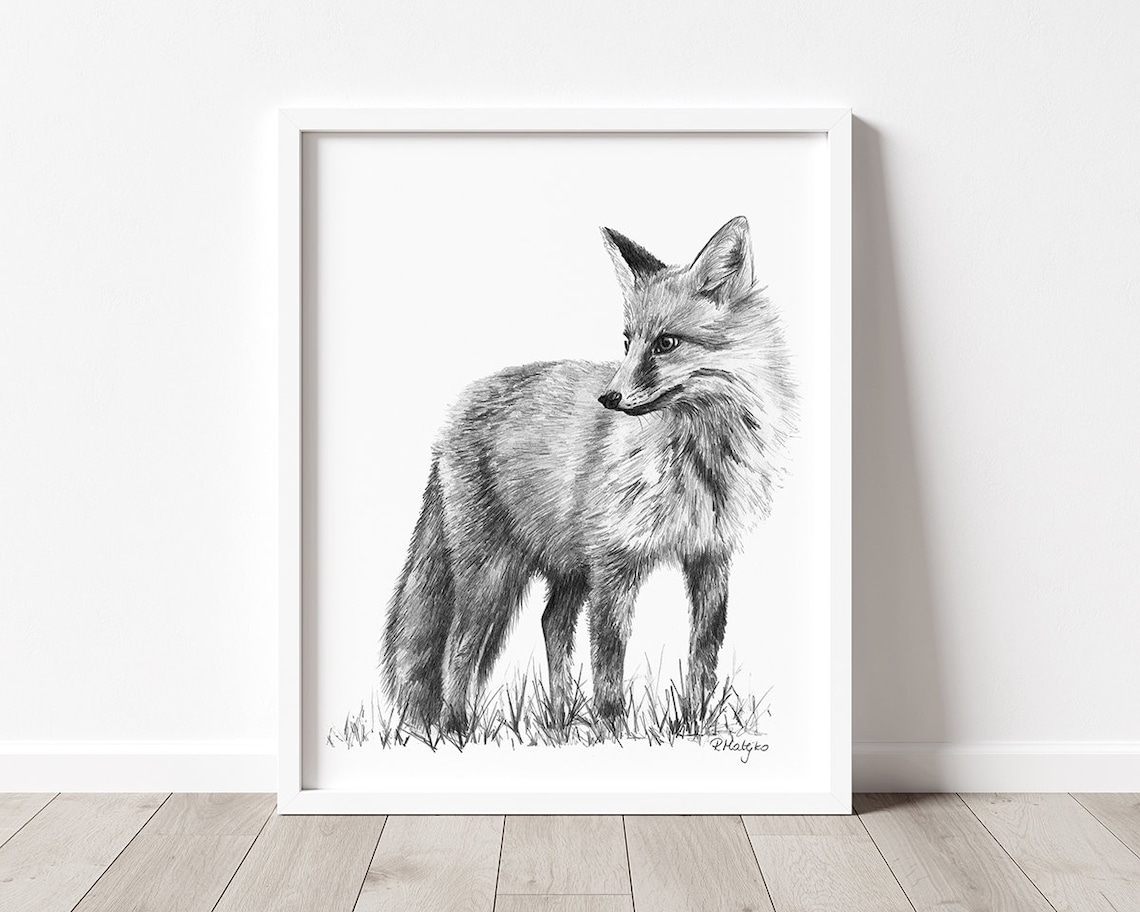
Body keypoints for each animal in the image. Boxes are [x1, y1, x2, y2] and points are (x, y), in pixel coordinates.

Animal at [382, 216, 796, 734]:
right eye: (627, 342)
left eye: (665, 343)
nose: (609, 398)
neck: (699, 461)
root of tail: (451, 414)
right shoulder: (614, 564)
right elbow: (609, 659)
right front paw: (614, 733)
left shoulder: (710, 555)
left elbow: (703, 653)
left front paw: (694, 725)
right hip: (493, 571)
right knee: (460, 645)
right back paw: (457, 729)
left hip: (568, 568)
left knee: (551, 624)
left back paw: (559, 722)